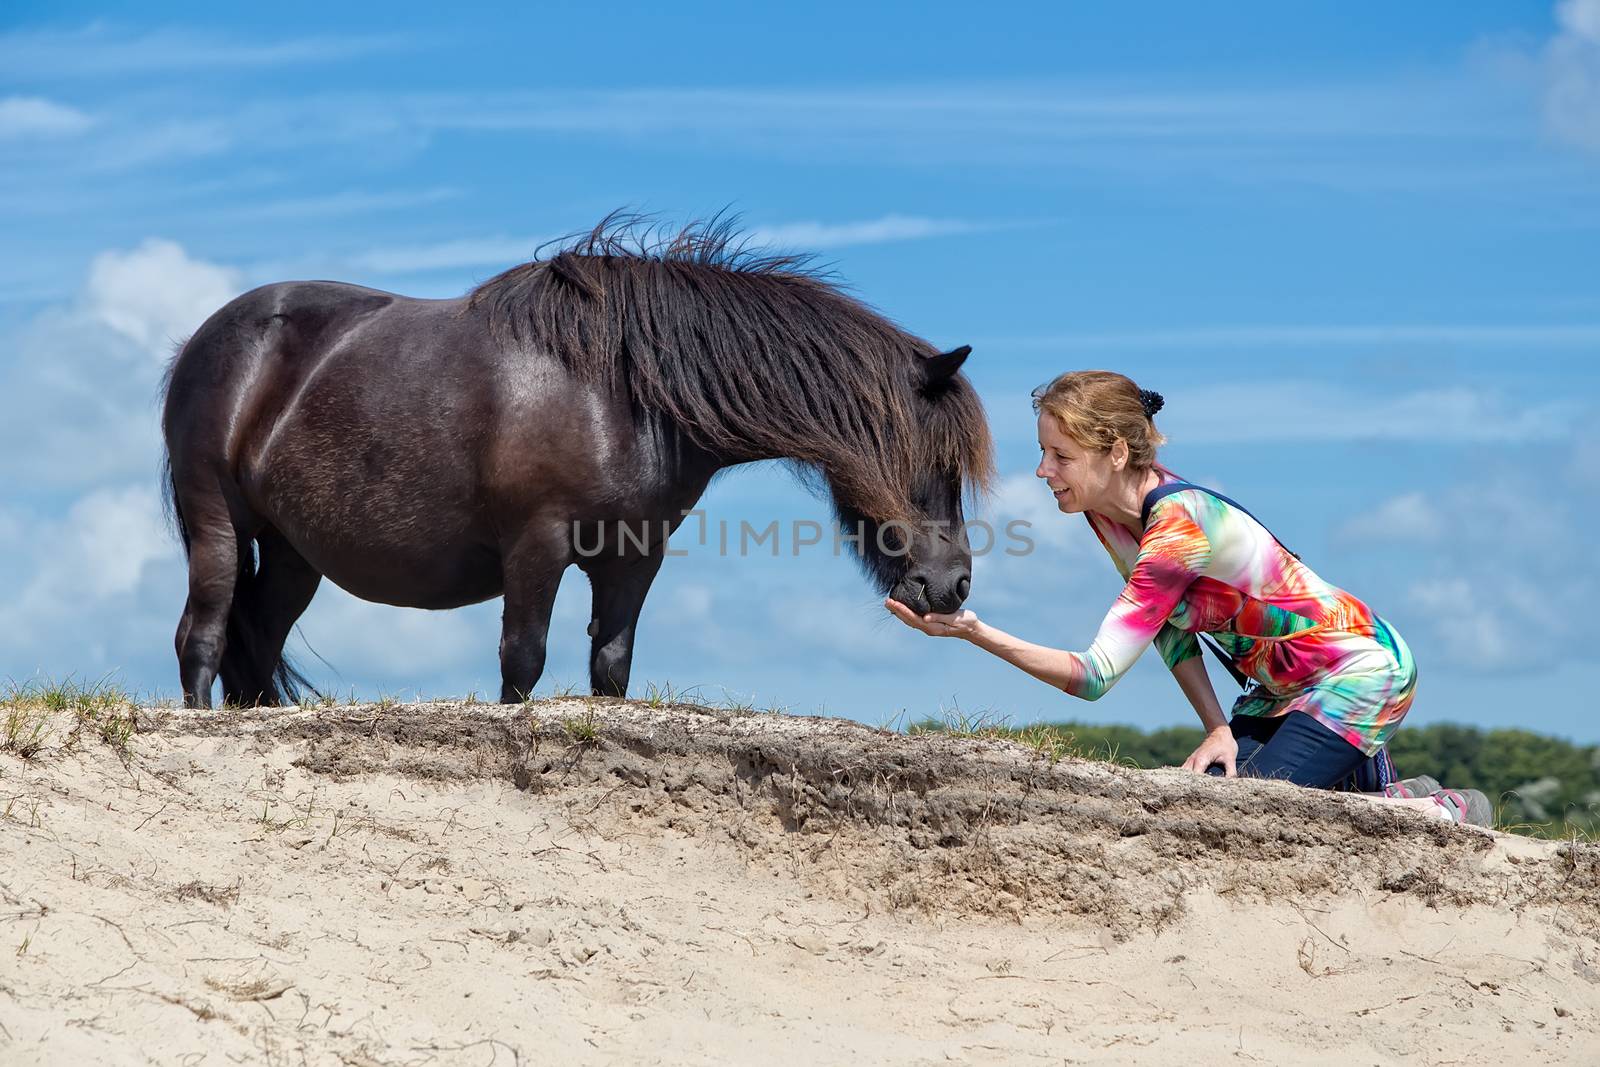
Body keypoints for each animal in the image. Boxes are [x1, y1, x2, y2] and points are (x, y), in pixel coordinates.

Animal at [159, 212, 985, 703]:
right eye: (932, 461)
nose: (950, 584)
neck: (622, 394)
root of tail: (204, 341)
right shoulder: (538, 544)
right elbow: (522, 660)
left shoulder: (633, 557)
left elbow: (610, 668)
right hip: (219, 526)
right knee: (203, 636)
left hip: (293, 551)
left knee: (256, 639)